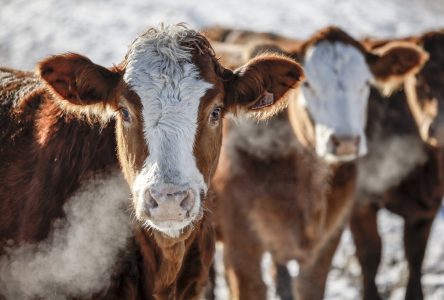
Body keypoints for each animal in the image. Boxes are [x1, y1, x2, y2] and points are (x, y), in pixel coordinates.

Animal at [350, 28, 444, 300]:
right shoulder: (360, 199)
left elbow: (415, 256)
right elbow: (370, 254)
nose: (439, 126)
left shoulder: (427, 208)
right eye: (418, 77)